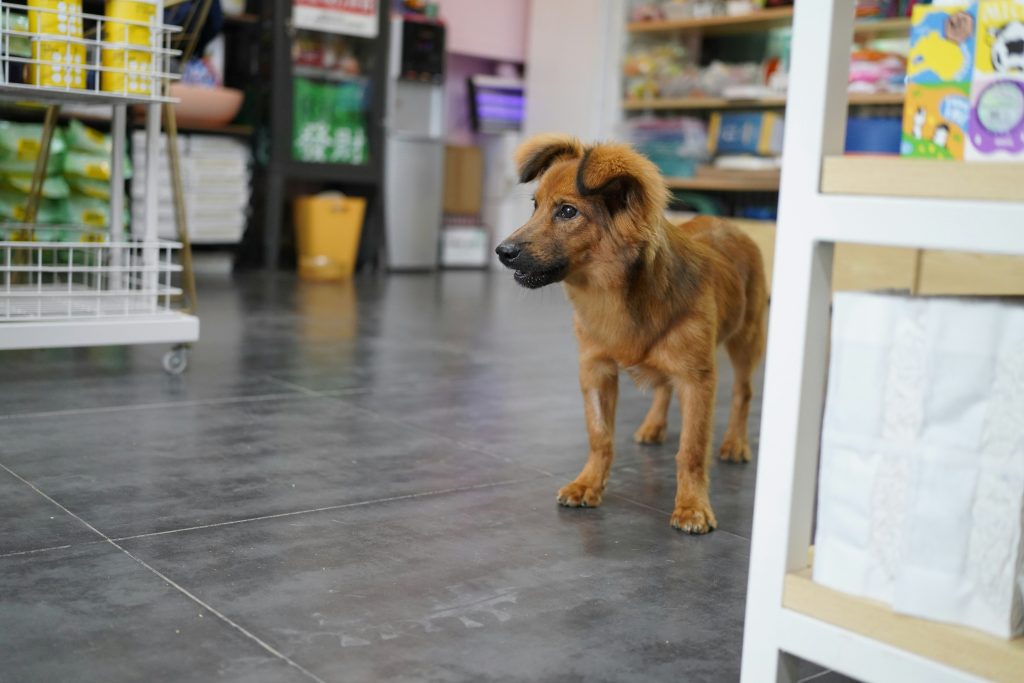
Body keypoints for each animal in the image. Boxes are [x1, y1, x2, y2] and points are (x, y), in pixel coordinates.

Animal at [491, 133, 765, 532]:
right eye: (535, 206)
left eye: (568, 212)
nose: (502, 251)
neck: (613, 296)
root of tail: (731, 225)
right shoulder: (595, 368)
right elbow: (599, 435)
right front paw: (588, 484)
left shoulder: (697, 380)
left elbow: (692, 449)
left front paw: (693, 507)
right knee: (664, 388)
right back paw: (652, 426)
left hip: (747, 339)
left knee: (743, 393)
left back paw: (735, 444)